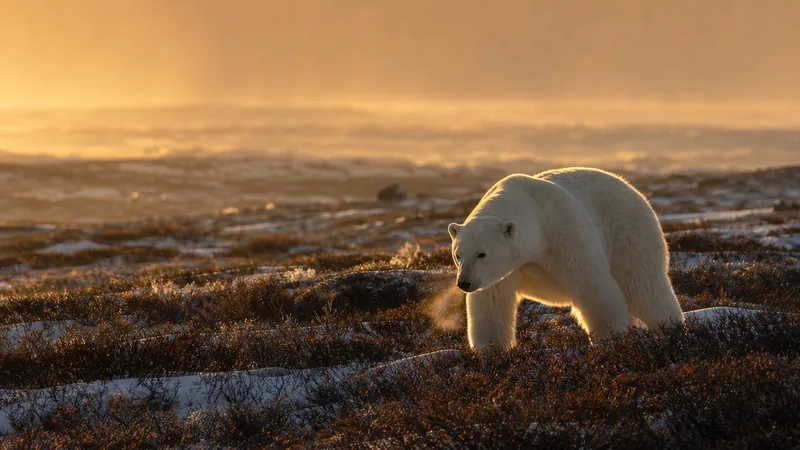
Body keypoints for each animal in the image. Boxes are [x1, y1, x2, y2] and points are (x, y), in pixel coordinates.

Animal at [448, 167, 683, 349]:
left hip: (628, 233)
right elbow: (491, 303)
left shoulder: (563, 232)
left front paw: (609, 337)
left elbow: (592, 286)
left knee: (643, 286)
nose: (464, 283)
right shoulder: (501, 272)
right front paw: (491, 351)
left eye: (482, 253)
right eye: (458, 255)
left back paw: (671, 328)